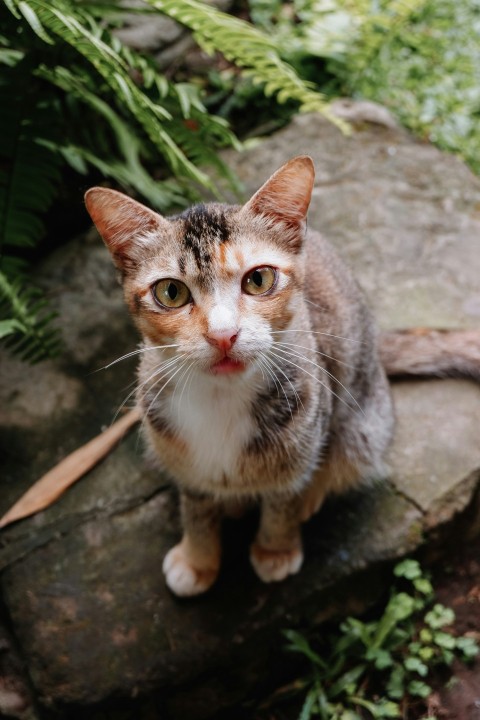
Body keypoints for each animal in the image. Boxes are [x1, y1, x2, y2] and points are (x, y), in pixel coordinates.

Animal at [84, 156, 478, 596]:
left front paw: (275, 548)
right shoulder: (175, 448)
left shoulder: (307, 425)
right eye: (171, 292)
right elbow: (196, 503)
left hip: (363, 421)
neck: (221, 397)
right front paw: (198, 558)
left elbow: (284, 496)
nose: (223, 335)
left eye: (258, 279)